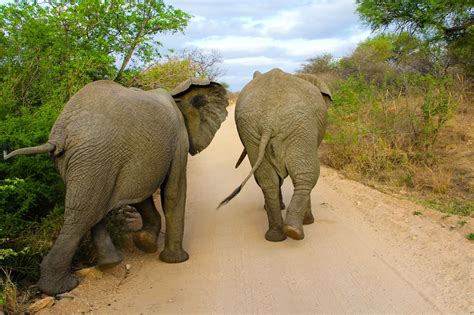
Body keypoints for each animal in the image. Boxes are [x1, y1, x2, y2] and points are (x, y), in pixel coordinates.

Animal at [2, 78, 227, 296]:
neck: (176, 93)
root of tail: (61, 132)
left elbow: (142, 197)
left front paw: (145, 243)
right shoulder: (179, 139)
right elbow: (173, 192)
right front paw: (176, 260)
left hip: (85, 160)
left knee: (88, 208)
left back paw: (107, 264)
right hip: (95, 155)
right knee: (85, 214)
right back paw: (64, 286)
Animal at [218, 68, 330, 242]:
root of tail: (268, 120)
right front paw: (308, 221)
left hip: (251, 130)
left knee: (267, 180)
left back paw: (276, 236)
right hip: (300, 126)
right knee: (306, 175)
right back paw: (296, 230)